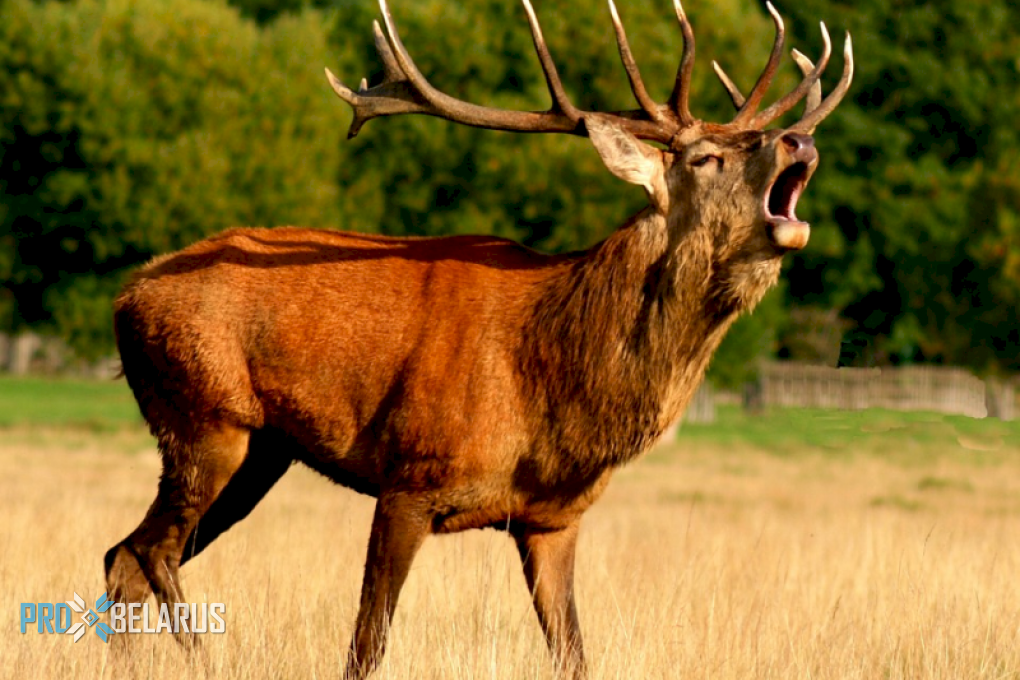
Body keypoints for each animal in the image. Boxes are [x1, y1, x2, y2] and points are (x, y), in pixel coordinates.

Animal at [103, 1, 852, 676]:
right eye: (703, 157)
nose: (799, 140)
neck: (551, 386)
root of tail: (125, 296)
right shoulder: (409, 475)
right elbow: (366, 645)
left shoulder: (554, 519)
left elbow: (574, 655)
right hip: (204, 415)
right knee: (149, 551)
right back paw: (206, 659)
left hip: (262, 451)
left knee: (123, 556)